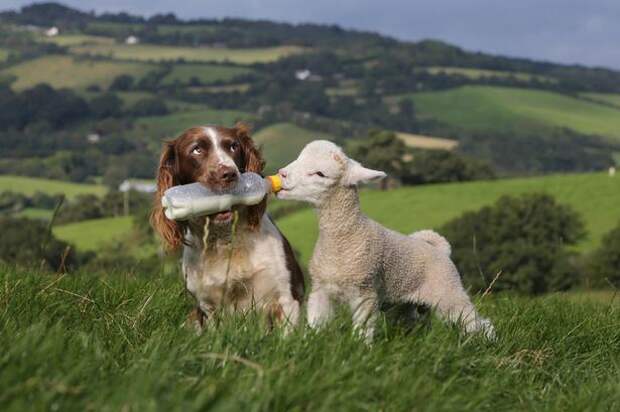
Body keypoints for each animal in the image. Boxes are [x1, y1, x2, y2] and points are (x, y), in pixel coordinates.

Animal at [151, 124, 306, 330]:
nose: (229, 174)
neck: (225, 240)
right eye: (196, 149)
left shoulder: (286, 298)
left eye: (233, 146)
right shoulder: (208, 307)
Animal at [276, 141, 494, 342]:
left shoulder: (365, 292)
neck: (344, 238)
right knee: (414, 323)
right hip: (404, 304)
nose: (282, 174)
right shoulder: (320, 290)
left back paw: (486, 340)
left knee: (474, 321)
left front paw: (360, 350)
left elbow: (363, 330)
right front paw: (309, 343)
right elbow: (316, 324)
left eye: (320, 174)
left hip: (448, 290)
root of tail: (439, 249)